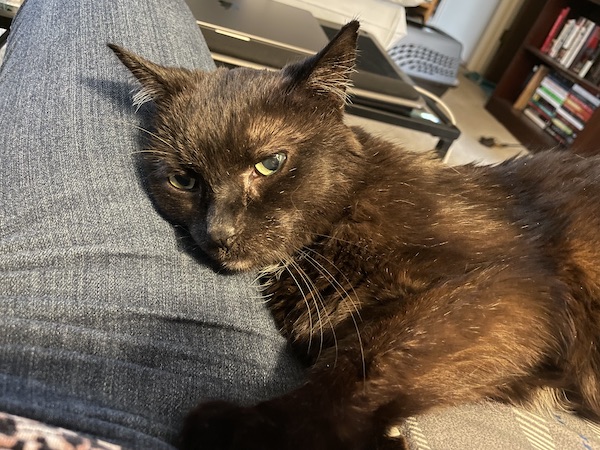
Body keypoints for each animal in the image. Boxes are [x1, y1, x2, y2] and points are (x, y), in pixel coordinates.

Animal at [109, 21, 600, 450]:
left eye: (271, 163)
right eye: (184, 180)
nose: (218, 232)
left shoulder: (517, 289)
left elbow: (368, 362)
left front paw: (256, 430)